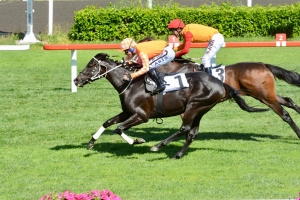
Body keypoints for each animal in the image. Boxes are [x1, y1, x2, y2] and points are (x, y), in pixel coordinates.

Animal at [74, 52, 266, 158]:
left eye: (90, 65)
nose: (76, 80)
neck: (129, 82)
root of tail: (220, 83)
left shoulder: (141, 116)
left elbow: (119, 129)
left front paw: (136, 140)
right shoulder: (128, 112)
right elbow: (108, 123)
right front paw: (91, 142)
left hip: (194, 106)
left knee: (184, 128)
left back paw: (158, 145)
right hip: (200, 109)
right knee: (192, 132)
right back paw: (178, 154)